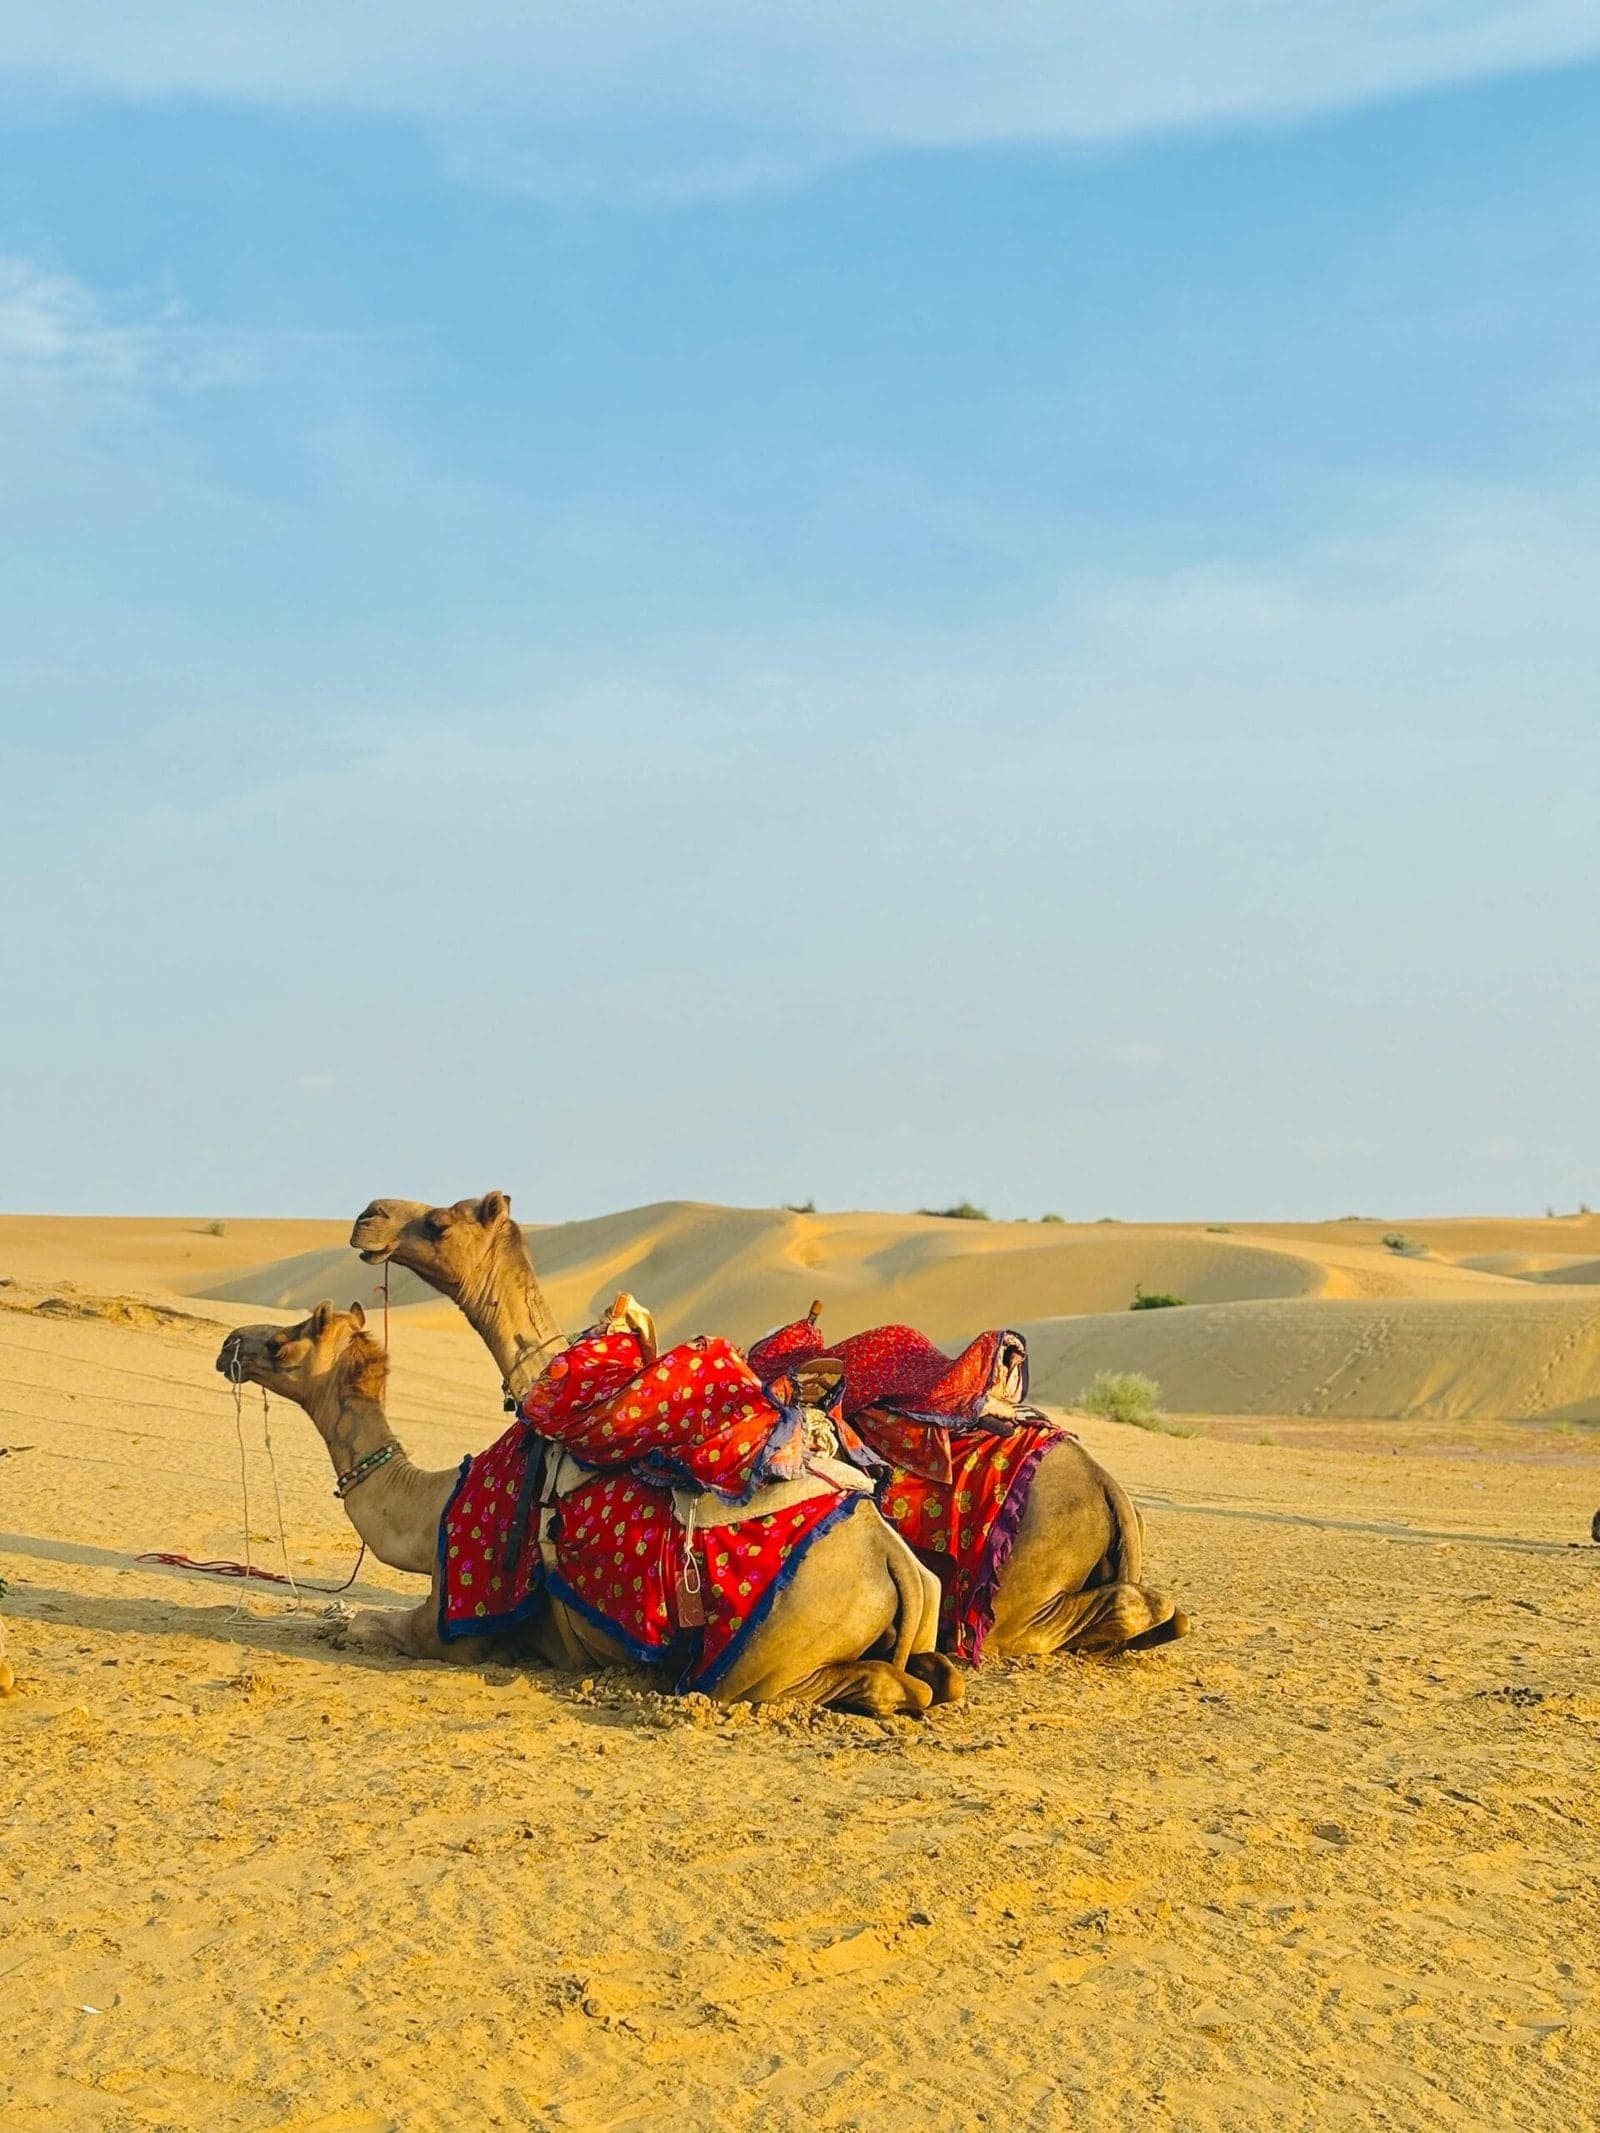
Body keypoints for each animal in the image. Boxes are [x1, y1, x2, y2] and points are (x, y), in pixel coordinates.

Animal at [215, 1301, 960, 1713]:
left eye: (286, 1339)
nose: (230, 1344)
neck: (432, 1506)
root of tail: (893, 1559)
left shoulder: (452, 1626)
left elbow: (368, 1623)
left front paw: (338, 1619)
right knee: (935, 1677)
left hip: (766, 1660)